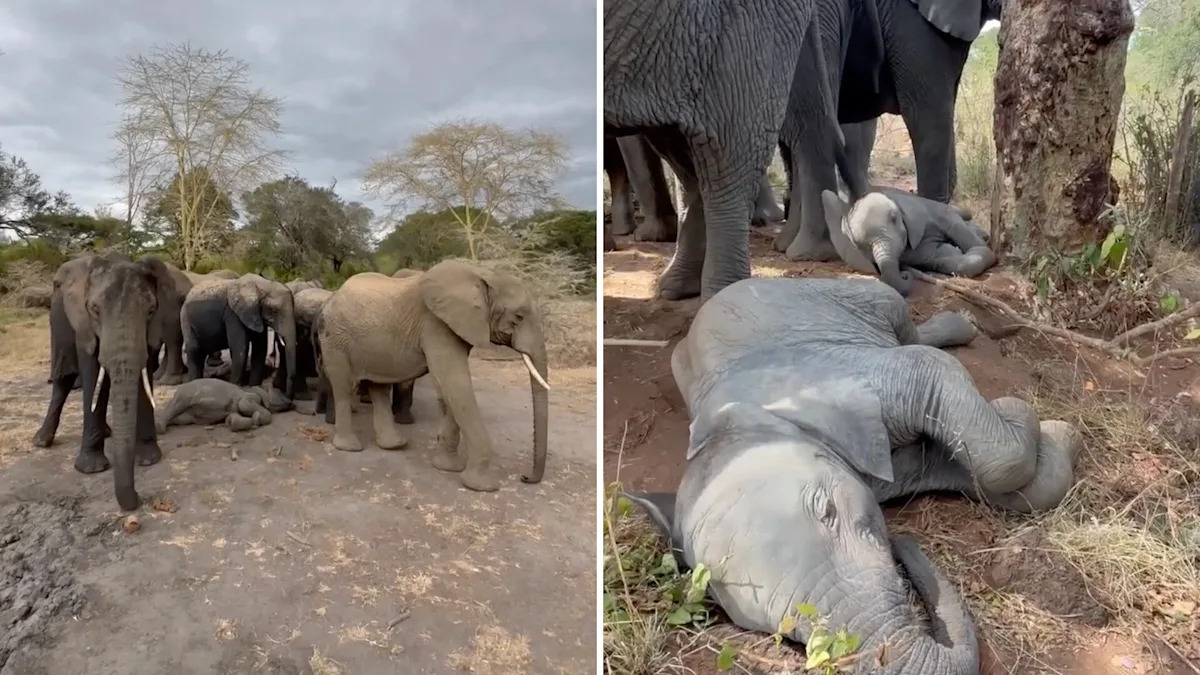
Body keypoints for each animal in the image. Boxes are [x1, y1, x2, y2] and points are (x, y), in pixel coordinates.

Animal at [31, 253, 180, 511]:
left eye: (151, 310)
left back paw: (107, 432)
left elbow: (143, 371)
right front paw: (91, 469)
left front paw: (148, 459)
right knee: (64, 377)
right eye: (94, 309)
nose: (139, 498)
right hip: (57, 315)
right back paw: (41, 441)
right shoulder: (84, 324)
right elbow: (92, 371)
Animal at [155, 378, 293, 434]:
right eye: (279, 390)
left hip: (186, 417)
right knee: (177, 404)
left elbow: (234, 418)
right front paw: (257, 418)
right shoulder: (248, 395)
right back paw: (159, 427)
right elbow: (243, 404)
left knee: (179, 418)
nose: (291, 402)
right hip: (185, 393)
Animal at [315, 260, 550, 492]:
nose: (524, 477)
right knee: (344, 388)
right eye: (518, 317)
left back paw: (394, 445)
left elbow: (450, 391)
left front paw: (447, 467)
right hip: (335, 339)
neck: (483, 274)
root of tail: (331, 297)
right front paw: (482, 486)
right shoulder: (436, 325)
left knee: (379, 387)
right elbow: (455, 384)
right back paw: (350, 447)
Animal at [627, 276, 1082, 674]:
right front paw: (1051, 433)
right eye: (782, 629)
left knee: (901, 320)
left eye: (826, 509)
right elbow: (952, 466)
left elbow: (932, 377)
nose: (904, 543)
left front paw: (1035, 418)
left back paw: (964, 326)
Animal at [824, 186, 996, 295]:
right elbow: (941, 258)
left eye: (894, 218)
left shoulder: (925, 212)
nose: (905, 275)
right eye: (861, 245)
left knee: (963, 214)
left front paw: (979, 248)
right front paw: (963, 251)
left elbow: (953, 224)